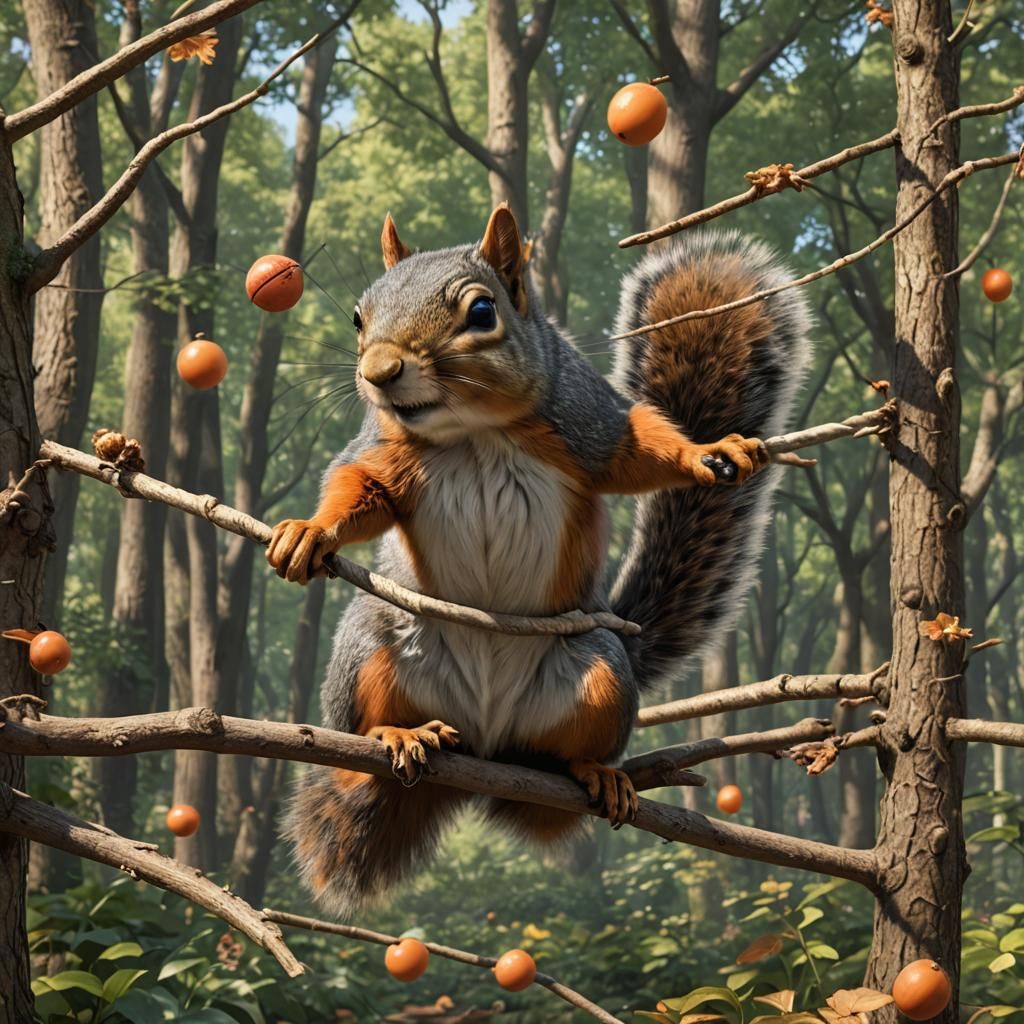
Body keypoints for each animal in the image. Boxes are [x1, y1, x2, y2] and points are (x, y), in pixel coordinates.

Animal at [267, 204, 811, 917]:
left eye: (481, 311)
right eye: (359, 316)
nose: (379, 372)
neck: (473, 429)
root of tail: (484, 746)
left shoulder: (586, 418)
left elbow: (639, 448)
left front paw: (705, 452)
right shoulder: (383, 447)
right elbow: (359, 486)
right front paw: (309, 530)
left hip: (601, 670)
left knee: (555, 761)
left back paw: (593, 773)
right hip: (370, 645)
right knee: (367, 726)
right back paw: (397, 735)